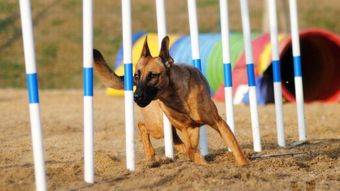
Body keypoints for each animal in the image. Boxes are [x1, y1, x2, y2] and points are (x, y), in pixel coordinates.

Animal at [92, 36, 247, 166]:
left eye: (152, 75)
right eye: (136, 75)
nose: (136, 97)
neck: (177, 98)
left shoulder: (217, 122)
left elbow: (234, 145)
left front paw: (243, 166)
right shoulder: (188, 129)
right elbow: (192, 150)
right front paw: (203, 165)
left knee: (174, 140)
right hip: (158, 126)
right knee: (142, 125)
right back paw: (151, 155)